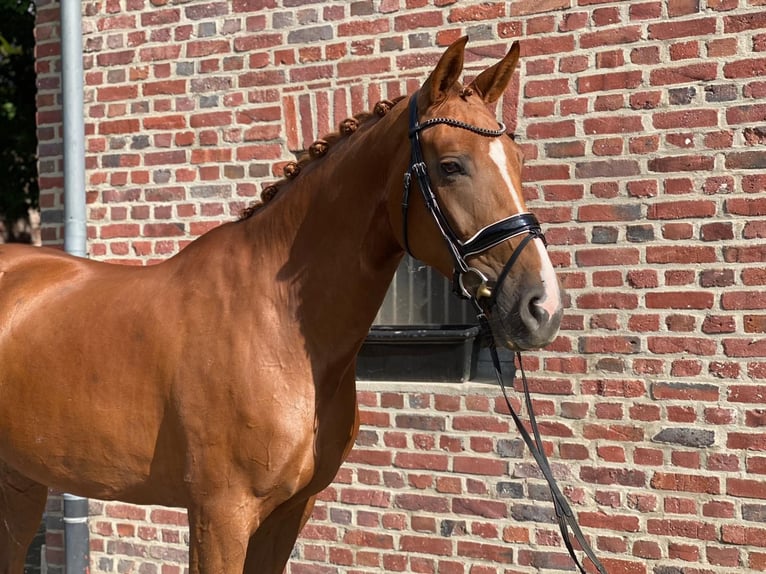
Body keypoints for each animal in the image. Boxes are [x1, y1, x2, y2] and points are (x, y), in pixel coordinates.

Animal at [1, 38, 564, 572]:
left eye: (517, 162)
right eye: (451, 166)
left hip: (21, 481)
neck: (277, 328)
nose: (542, 307)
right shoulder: (220, 515)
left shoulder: (290, 511)